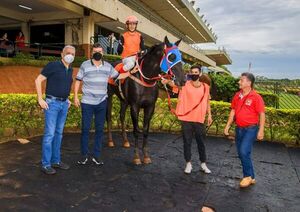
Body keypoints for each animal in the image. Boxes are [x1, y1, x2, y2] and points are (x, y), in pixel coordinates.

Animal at [106, 36, 186, 166]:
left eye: (181, 57)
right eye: (171, 57)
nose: (183, 80)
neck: (145, 79)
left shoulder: (150, 107)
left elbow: (145, 131)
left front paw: (146, 156)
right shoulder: (135, 106)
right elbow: (136, 131)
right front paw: (137, 157)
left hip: (124, 100)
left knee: (122, 116)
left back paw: (125, 141)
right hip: (109, 95)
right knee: (108, 116)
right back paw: (110, 141)